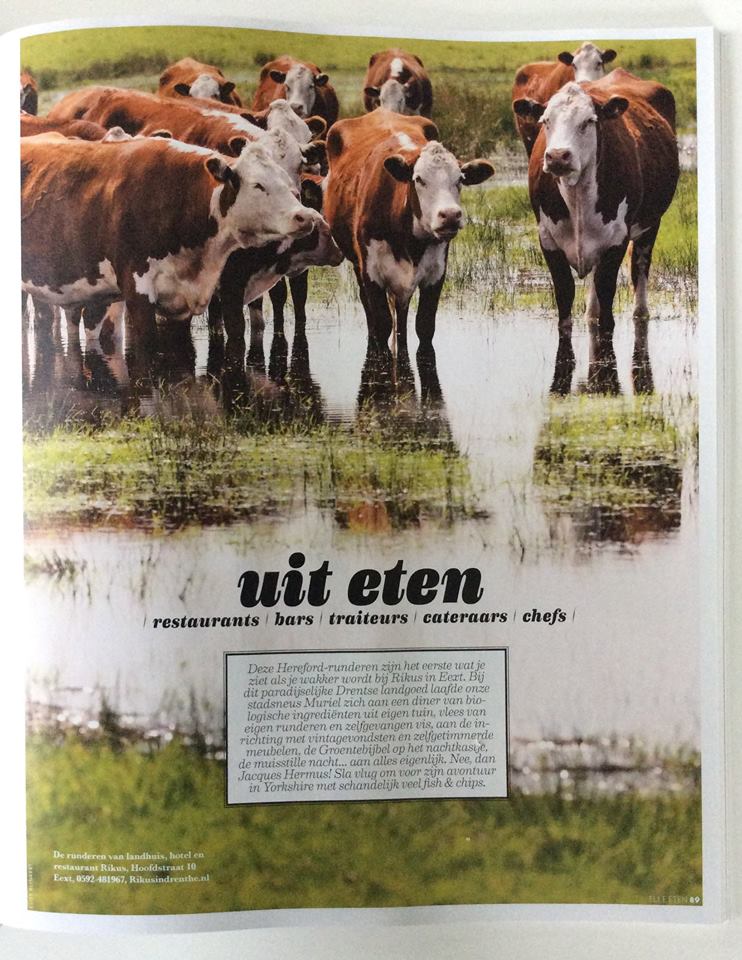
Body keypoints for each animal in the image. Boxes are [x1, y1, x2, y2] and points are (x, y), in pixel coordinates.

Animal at [323, 110, 494, 348]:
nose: (450, 215)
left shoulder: (436, 274)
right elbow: (382, 324)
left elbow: (424, 326)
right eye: (419, 179)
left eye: (460, 179)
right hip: (357, 265)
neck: (409, 242)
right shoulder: (371, 273)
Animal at [514, 77, 678, 344]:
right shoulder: (547, 238)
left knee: (640, 267)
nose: (557, 156)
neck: (578, 195)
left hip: (651, 224)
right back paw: (591, 312)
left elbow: (606, 296)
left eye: (588, 121)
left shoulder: (617, 239)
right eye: (546, 121)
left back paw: (640, 311)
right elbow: (565, 293)